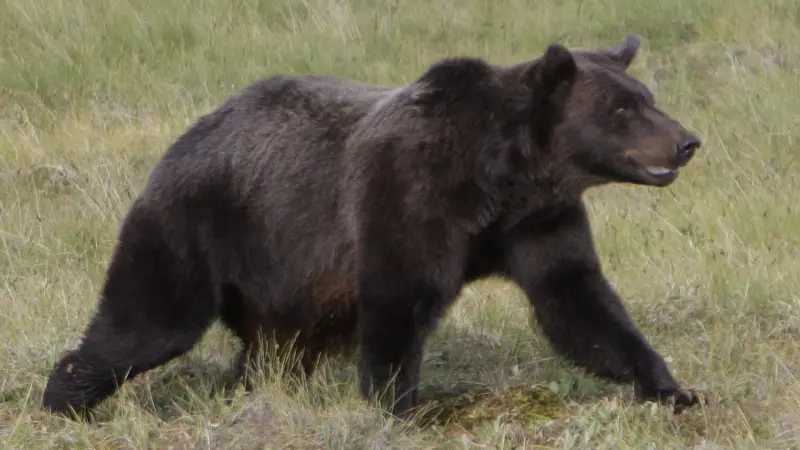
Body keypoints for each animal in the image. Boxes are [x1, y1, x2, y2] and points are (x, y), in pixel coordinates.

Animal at [42, 33, 706, 420]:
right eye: (622, 108)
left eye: (646, 95)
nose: (687, 140)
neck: (501, 179)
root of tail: (187, 134)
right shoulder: (407, 196)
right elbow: (398, 300)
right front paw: (402, 408)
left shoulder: (539, 223)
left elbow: (579, 303)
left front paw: (672, 387)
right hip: (201, 225)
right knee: (147, 320)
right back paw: (66, 398)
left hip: (286, 282)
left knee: (272, 352)